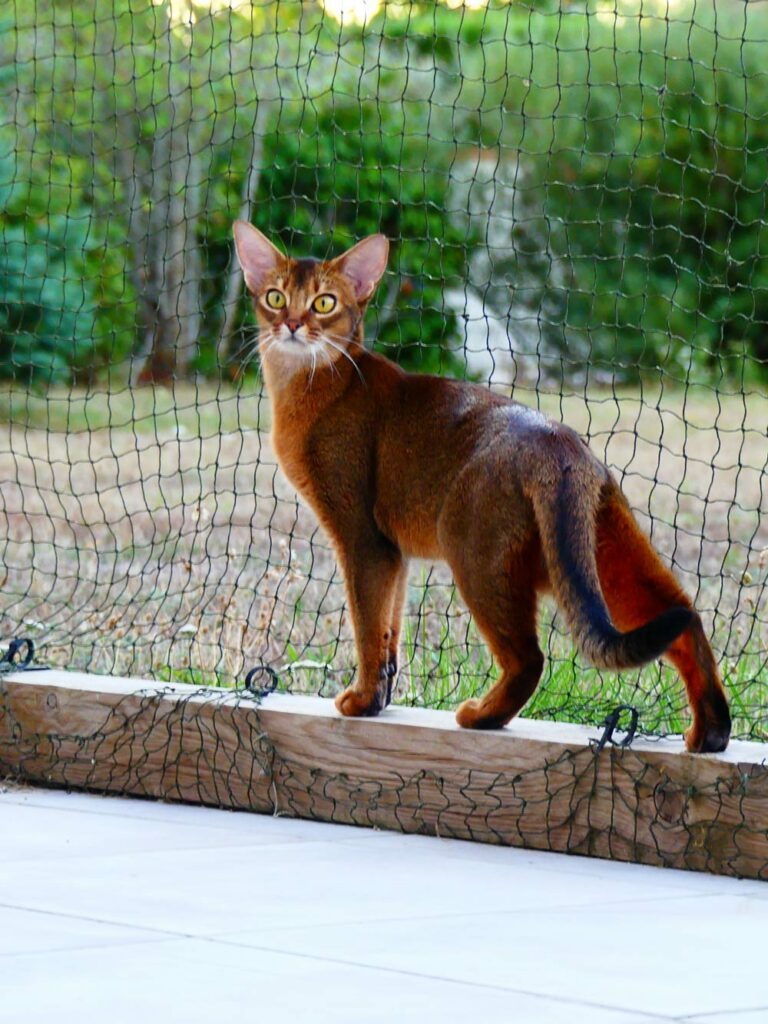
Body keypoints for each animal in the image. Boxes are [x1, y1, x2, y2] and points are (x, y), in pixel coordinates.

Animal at [234, 222, 733, 753]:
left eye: (324, 303)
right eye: (275, 297)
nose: (291, 324)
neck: (314, 386)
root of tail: (557, 442)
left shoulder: (362, 539)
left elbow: (368, 627)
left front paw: (362, 700)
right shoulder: (394, 553)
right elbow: (390, 630)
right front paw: (380, 700)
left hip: (474, 554)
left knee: (530, 658)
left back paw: (482, 716)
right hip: (603, 556)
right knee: (685, 615)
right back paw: (710, 731)